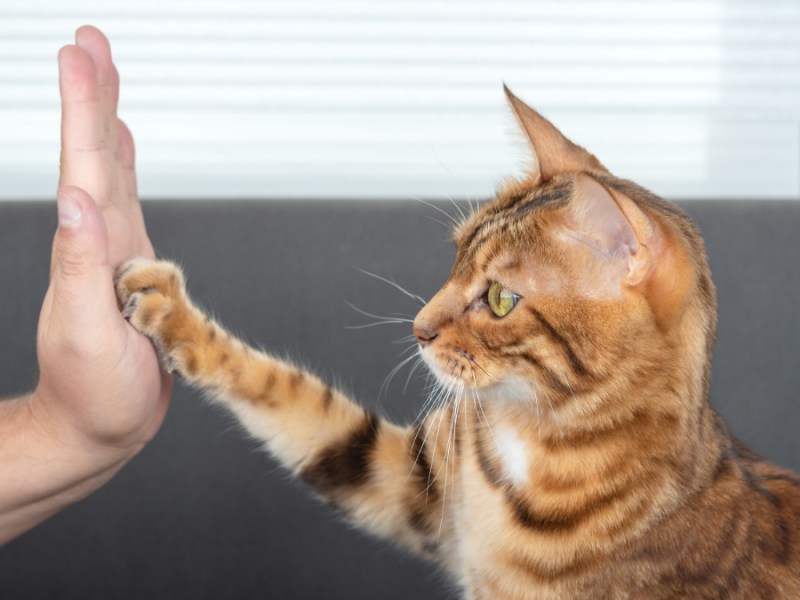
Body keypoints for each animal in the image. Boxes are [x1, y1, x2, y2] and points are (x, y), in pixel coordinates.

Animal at [114, 86, 800, 596]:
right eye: (456, 257)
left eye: (498, 299)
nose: (418, 329)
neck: (538, 437)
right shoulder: (412, 481)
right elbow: (299, 403)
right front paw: (170, 310)